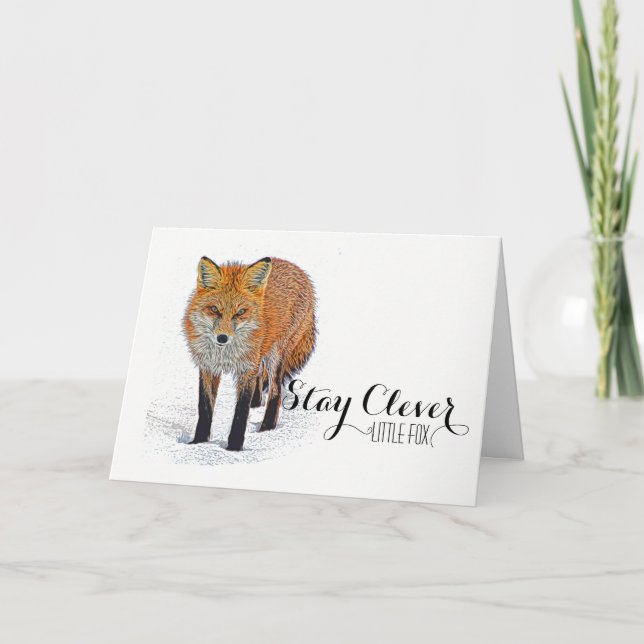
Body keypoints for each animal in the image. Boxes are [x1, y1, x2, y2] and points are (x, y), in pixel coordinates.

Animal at [183, 255, 316, 451]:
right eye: (214, 309)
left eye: (240, 312)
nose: (222, 337)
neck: (225, 354)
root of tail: (296, 268)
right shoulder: (208, 367)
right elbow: (205, 408)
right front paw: (198, 443)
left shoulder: (246, 369)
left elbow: (241, 412)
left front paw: (234, 448)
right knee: (261, 377)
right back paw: (257, 403)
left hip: (276, 355)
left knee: (275, 390)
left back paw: (267, 428)